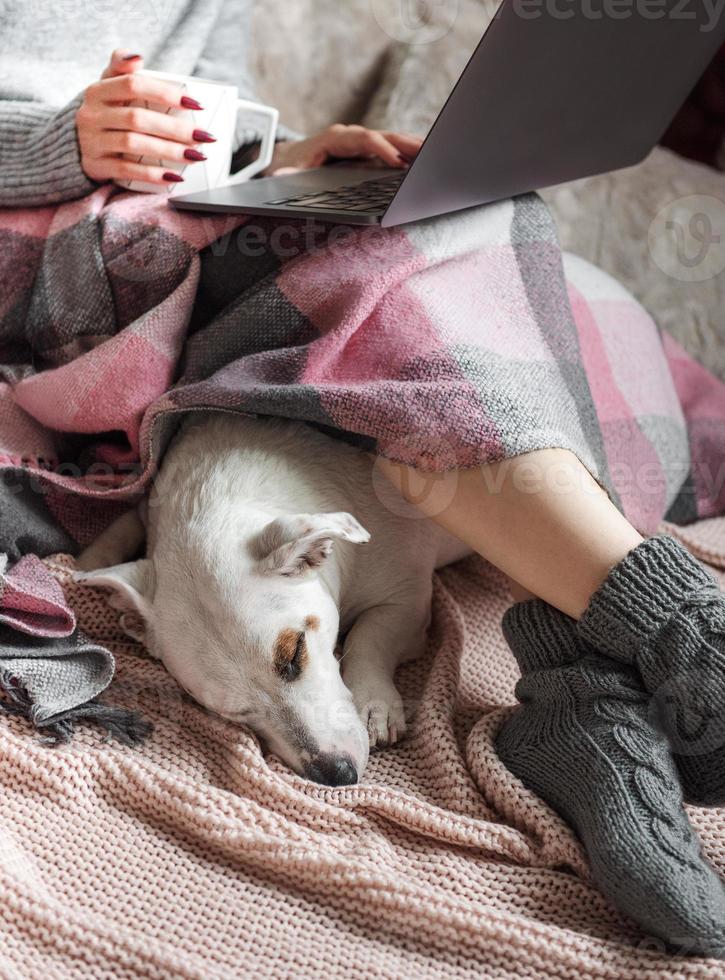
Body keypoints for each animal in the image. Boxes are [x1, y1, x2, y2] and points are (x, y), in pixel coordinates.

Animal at [78, 414, 464, 788]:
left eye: (295, 652)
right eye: (232, 712)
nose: (336, 775)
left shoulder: (408, 600)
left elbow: (368, 635)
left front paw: (375, 705)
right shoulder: (146, 509)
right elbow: (123, 525)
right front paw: (84, 566)